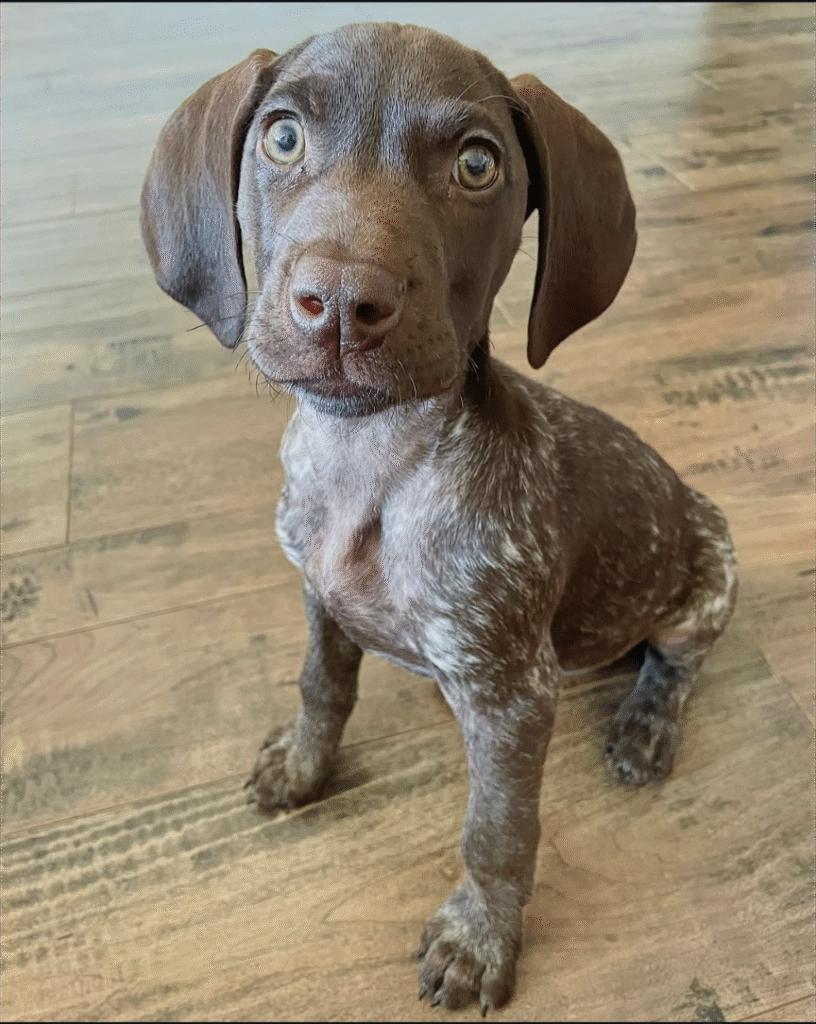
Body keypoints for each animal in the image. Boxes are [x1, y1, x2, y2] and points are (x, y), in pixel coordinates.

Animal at [141, 22, 738, 1013]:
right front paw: (304, 764)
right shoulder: (320, 596)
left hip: (714, 560)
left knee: (677, 662)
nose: (342, 303)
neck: (370, 465)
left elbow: (497, 831)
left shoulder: (514, 700)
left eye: (476, 165)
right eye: (282, 138)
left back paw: (646, 724)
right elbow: (323, 688)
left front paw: (478, 938)